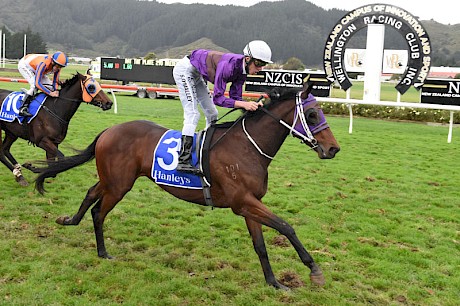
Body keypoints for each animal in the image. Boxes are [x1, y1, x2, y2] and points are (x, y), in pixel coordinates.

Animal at [35, 83, 338, 290]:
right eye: (312, 114)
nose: (333, 149)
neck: (247, 147)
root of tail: (109, 130)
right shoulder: (242, 202)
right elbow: (286, 226)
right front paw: (314, 269)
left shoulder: (250, 204)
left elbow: (261, 245)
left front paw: (274, 282)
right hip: (119, 185)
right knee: (99, 212)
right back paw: (102, 252)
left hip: (113, 179)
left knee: (90, 195)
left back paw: (69, 220)